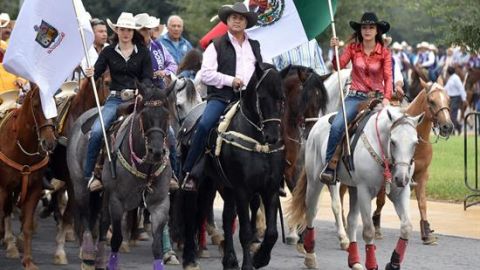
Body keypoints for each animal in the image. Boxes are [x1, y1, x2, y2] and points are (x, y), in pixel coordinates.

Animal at [0, 86, 56, 270]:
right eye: (37, 105)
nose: (49, 142)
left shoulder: (34, 190)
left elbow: (27, 226)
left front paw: (28, 261)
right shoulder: (2, 189)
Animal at [179, 62, 284, 268]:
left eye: (282, 99)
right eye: (262, 97)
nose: (273, 137)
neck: (257, 143)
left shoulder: (270, 190)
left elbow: (272, 233)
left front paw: (261, 258)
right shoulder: (243, 190)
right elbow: (245, 233)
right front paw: (249, 264)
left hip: (221, 184)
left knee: (226, 217)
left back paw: (229, 259)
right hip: (197, 183)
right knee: (190, 213)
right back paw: (189, 258)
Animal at [288, 106, 424, 270]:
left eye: (415, 143)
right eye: (393, 142)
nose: (402, 178)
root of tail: (316, 124)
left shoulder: (400, 193)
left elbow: (406, 227)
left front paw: (394, 263)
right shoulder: (365, 191)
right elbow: (369, 231)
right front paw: (372, 264)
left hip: (353, 189)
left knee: (351, 220)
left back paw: (354, 261)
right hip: (315, 182)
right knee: (311, 213)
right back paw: (310, 256)